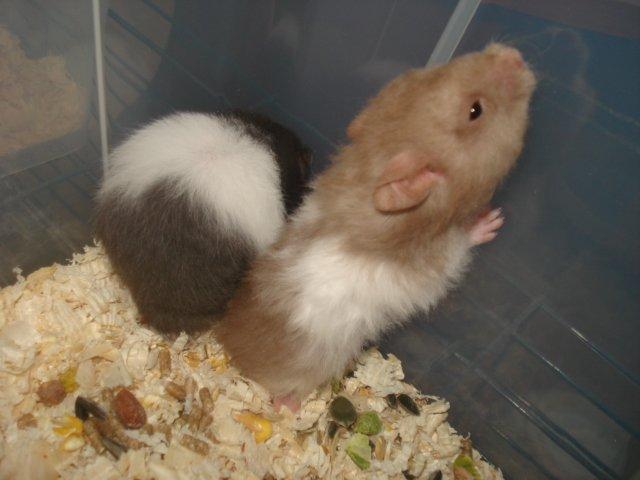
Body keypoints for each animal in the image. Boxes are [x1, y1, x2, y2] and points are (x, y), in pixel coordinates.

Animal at [215, 44, 537, 411]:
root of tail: (228, 348)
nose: (512, 53)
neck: (370, 165)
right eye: (475, 110)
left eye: (441, 68)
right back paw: (290, 407)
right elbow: (462, 244)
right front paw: (492, 219)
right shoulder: (438, 264)